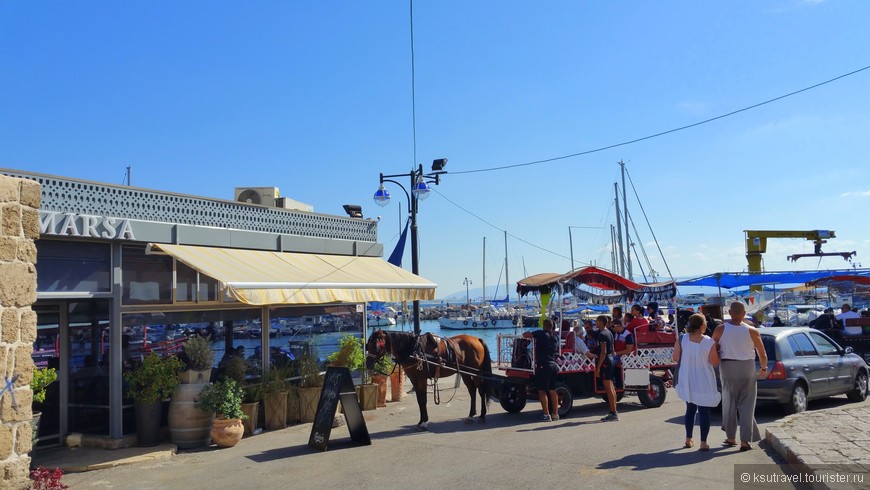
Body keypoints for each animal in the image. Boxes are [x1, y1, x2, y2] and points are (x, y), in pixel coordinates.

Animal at [364, 330, 494, 428]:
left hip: (476, 373)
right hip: (465, 373)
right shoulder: (414, 379)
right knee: (472, 390)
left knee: (481, 391)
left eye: (376, 345)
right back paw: (471, 415)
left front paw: (424, 422)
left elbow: (423, 400)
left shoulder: (421, 379)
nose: (368, 363)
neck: (413, 349)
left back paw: (482, 415)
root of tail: (477, 339)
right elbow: (419, 400)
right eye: (368, 345)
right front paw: (421, 421)